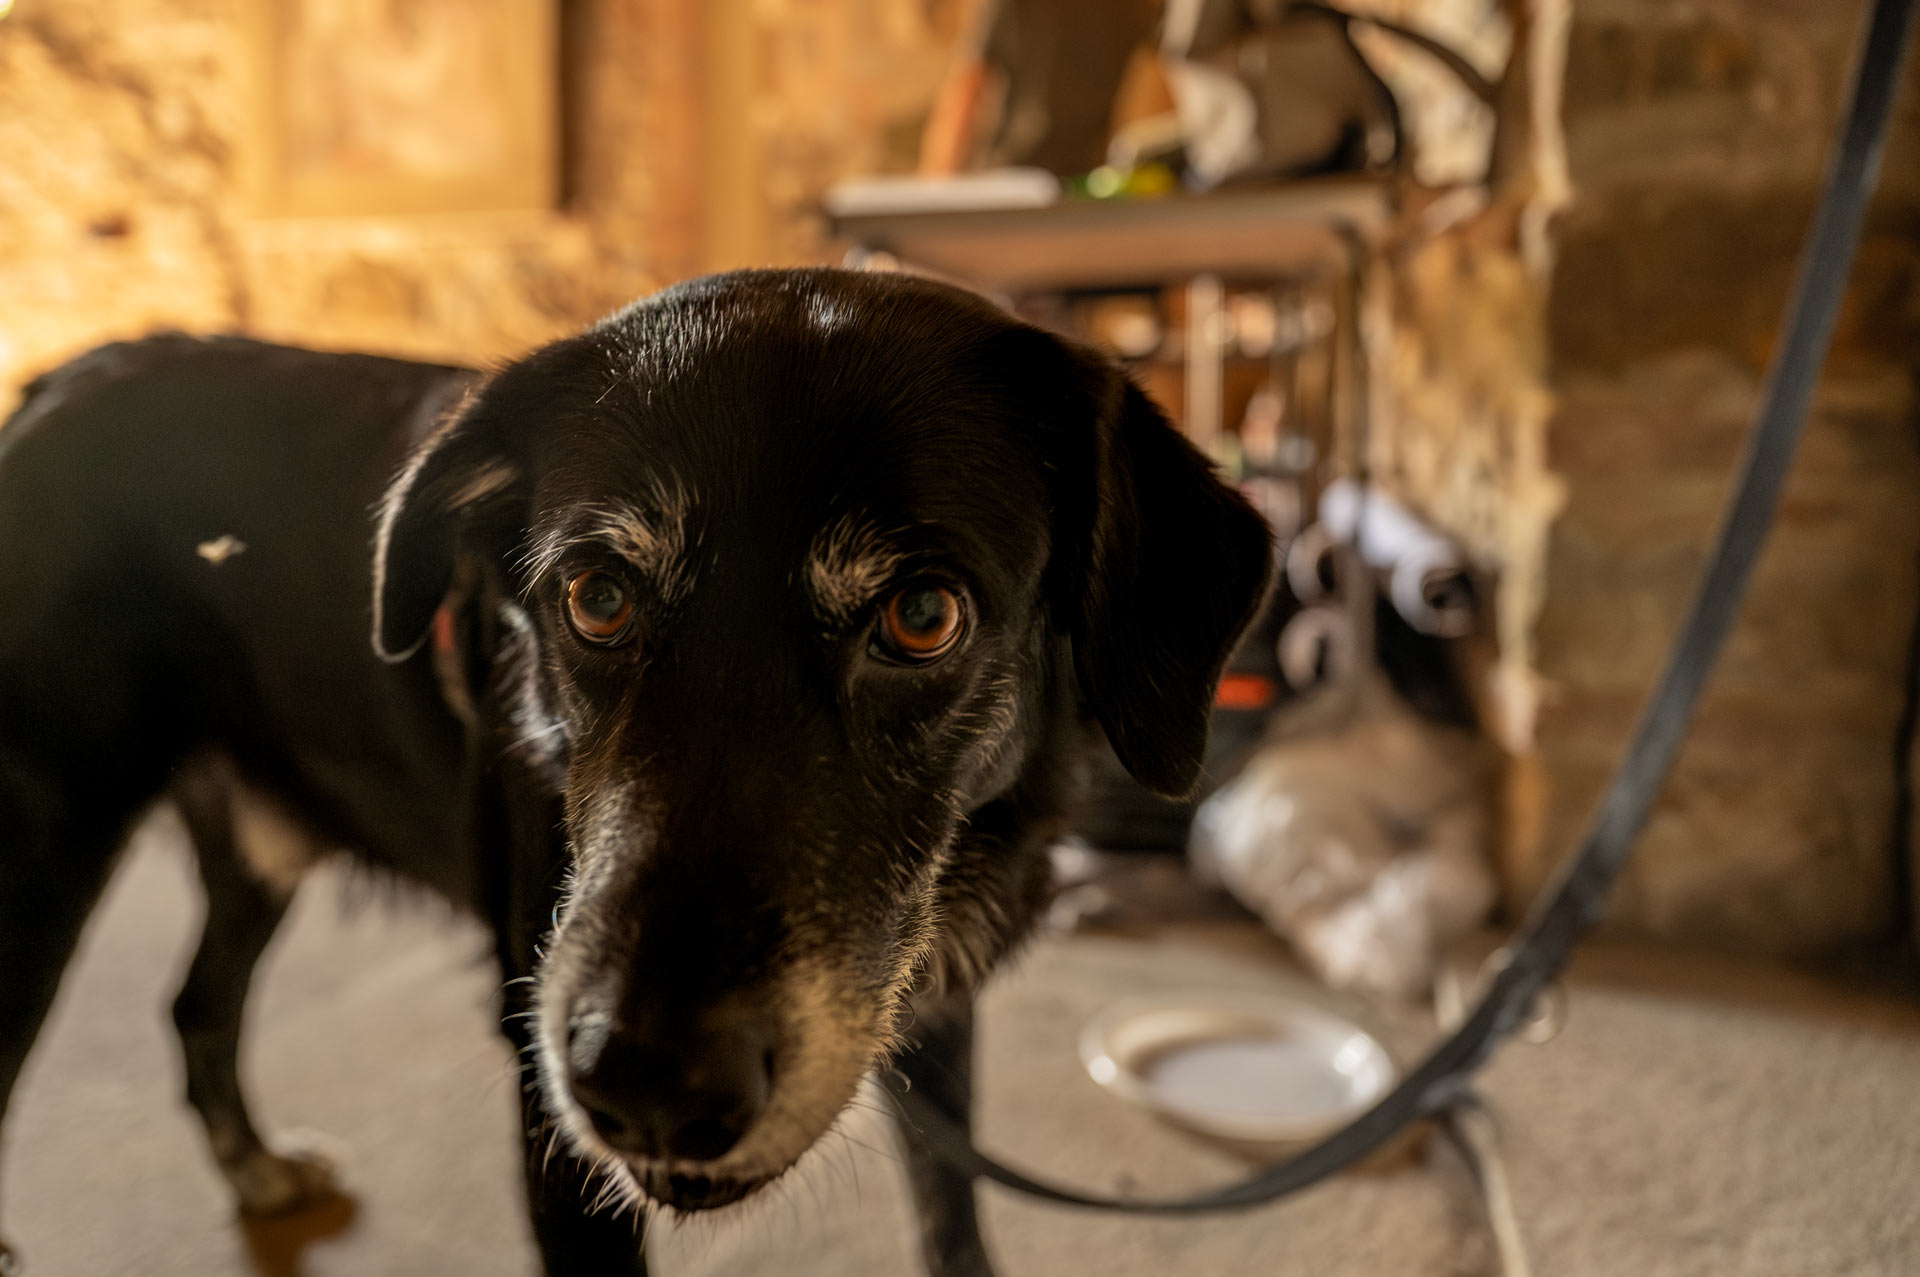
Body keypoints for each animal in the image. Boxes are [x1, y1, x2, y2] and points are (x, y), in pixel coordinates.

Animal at [0, 263, 1274, 1267]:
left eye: (923, 615)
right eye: (597, 597)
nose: (650, 1087)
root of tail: (58, 381)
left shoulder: (935, 1021)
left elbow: (954, 1224)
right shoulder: (545, 1108)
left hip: (253, 842)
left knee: (196, 1004)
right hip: (46, 850)